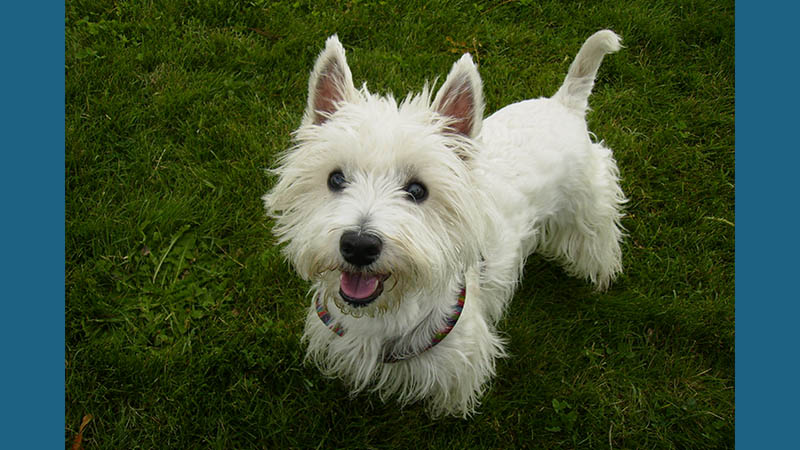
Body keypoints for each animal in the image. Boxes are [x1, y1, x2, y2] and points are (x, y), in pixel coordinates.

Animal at [266, 30, 628, 418]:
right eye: (335, 179)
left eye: (417, 190)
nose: (359, 246)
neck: (384, 313)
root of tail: (564, 103)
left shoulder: (459, 356)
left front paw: (450, 413)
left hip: (588, 204)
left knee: (599, 237)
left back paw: (601, 275)